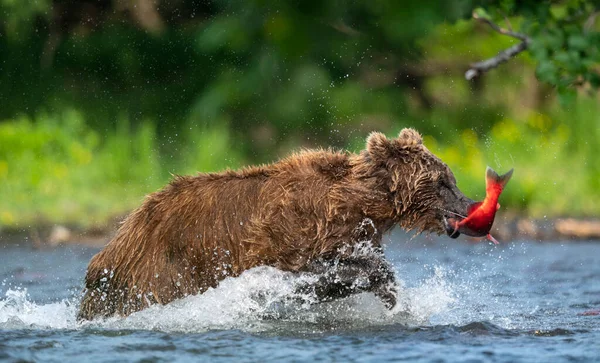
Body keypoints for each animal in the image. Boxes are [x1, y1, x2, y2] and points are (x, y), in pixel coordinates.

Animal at [78, 129, 474, 322]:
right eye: (442, 180)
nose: (468, 205)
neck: (363, 204)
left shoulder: (356, 233)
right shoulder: (294, 233)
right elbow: (318, 272)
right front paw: (386, 290)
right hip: (161, 268)